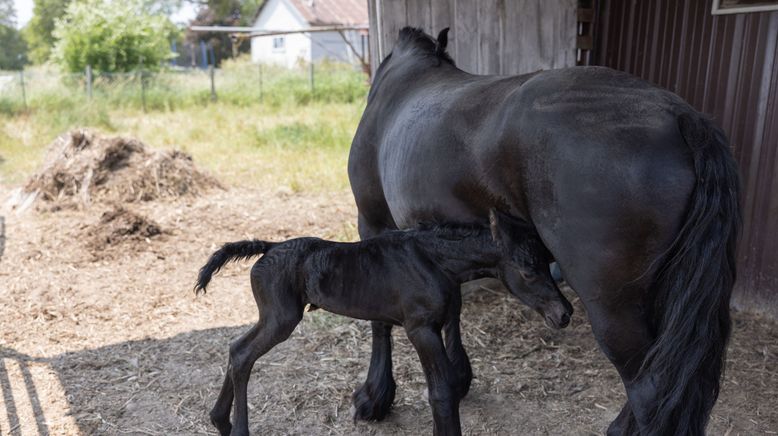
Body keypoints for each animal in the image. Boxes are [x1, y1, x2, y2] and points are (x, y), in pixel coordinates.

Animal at [194, 209, 568, 434]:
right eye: (526, 271)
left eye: (546, 260)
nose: (564, 313)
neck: (433, 259)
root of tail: (269, 247)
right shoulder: (420, 329)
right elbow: (441, 392)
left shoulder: (436, 325)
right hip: (280, 319)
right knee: (243, 354)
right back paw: (236, 429)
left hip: (273, 318)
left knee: (236, 349)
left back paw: (220, 421)